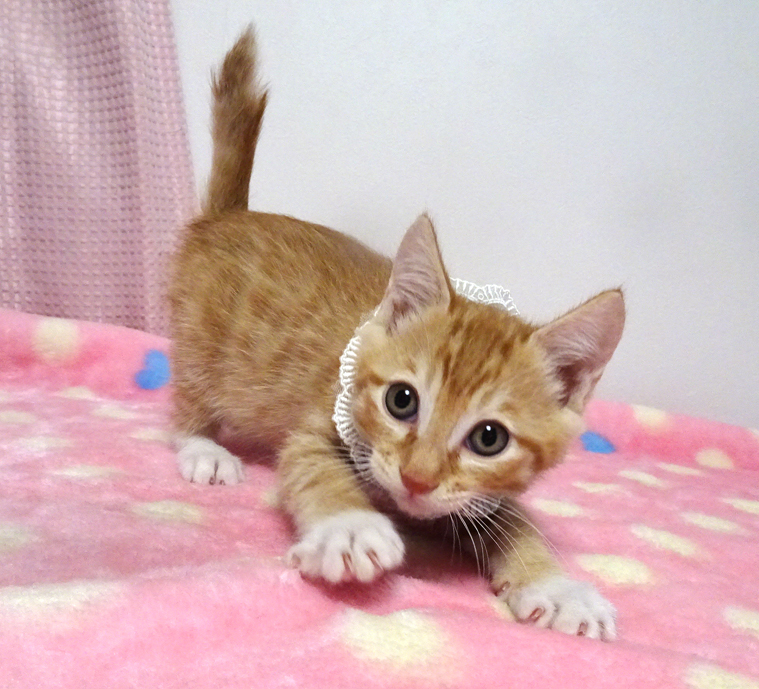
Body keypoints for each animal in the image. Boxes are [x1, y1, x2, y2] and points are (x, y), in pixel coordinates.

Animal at [169, 27, 625, 641]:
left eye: (490, 438)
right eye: (401, 401)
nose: (416, 479)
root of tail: (227, 217)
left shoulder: (478, 500)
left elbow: (518, 523)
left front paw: (559, 587)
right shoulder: (317, 428)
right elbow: (312, 468)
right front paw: (349, 527)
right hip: (201, 340)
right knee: (188, 399)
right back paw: (203, 448)